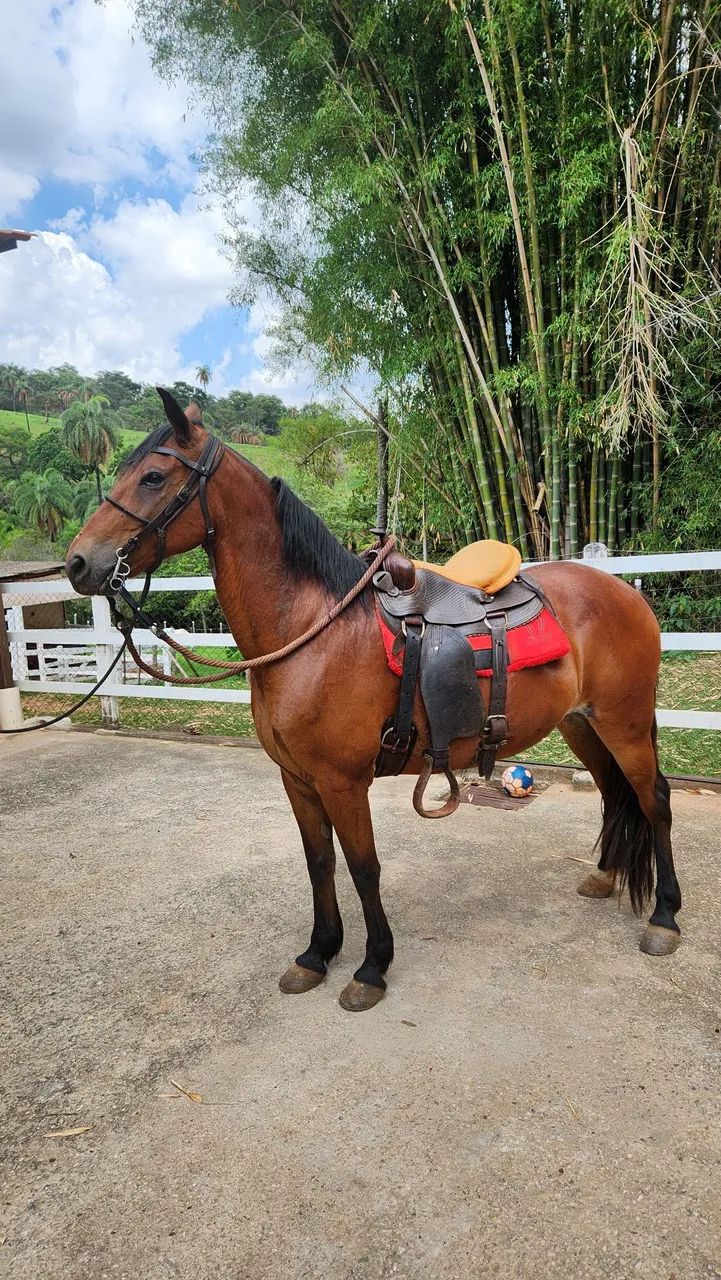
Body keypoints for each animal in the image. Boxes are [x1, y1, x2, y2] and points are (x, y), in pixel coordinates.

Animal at [66, 390, 682, 1013]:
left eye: (153, 476)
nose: (78, 563)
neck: (312, 630)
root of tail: (625, 590)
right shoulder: (298, 779)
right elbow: (319, 863)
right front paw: (317, 954)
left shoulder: (342, 781)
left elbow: (364, 867)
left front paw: (371, 967)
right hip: (582, 725)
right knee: (614, 793)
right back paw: (604, 877)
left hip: (625, 723)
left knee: (652, 798)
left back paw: (664, 918)